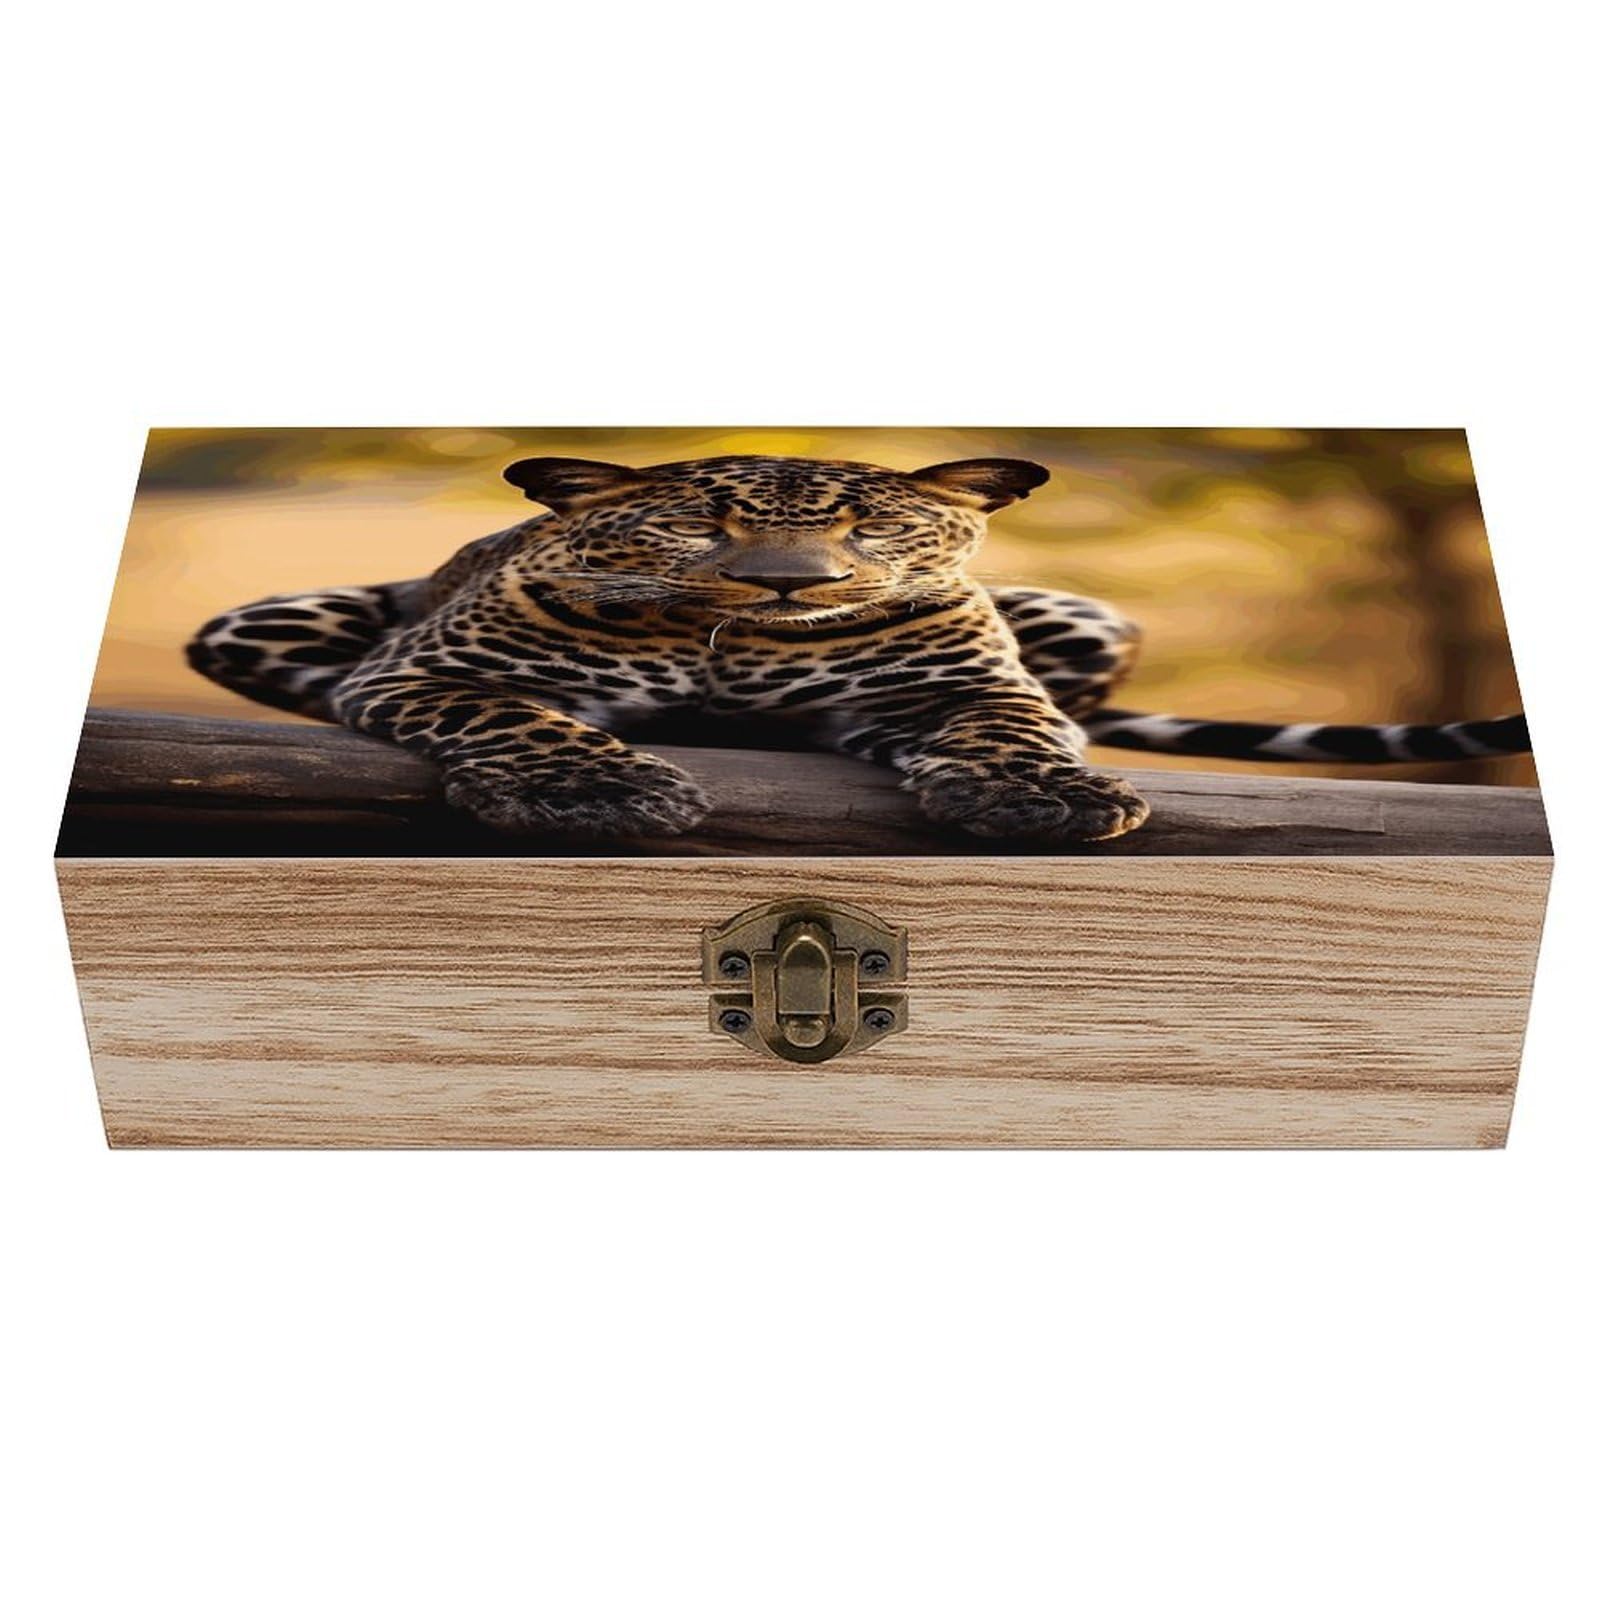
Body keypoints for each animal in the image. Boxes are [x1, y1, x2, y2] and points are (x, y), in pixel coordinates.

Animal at [186, 453, 1531, 844]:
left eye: (868, 525)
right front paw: (595, 787)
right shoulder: (427, 669)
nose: (790, 584)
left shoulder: (961, 680)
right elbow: (514, 712)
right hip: (249, 623)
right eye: (696, 520)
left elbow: (1012, 722)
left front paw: (1034, 795)